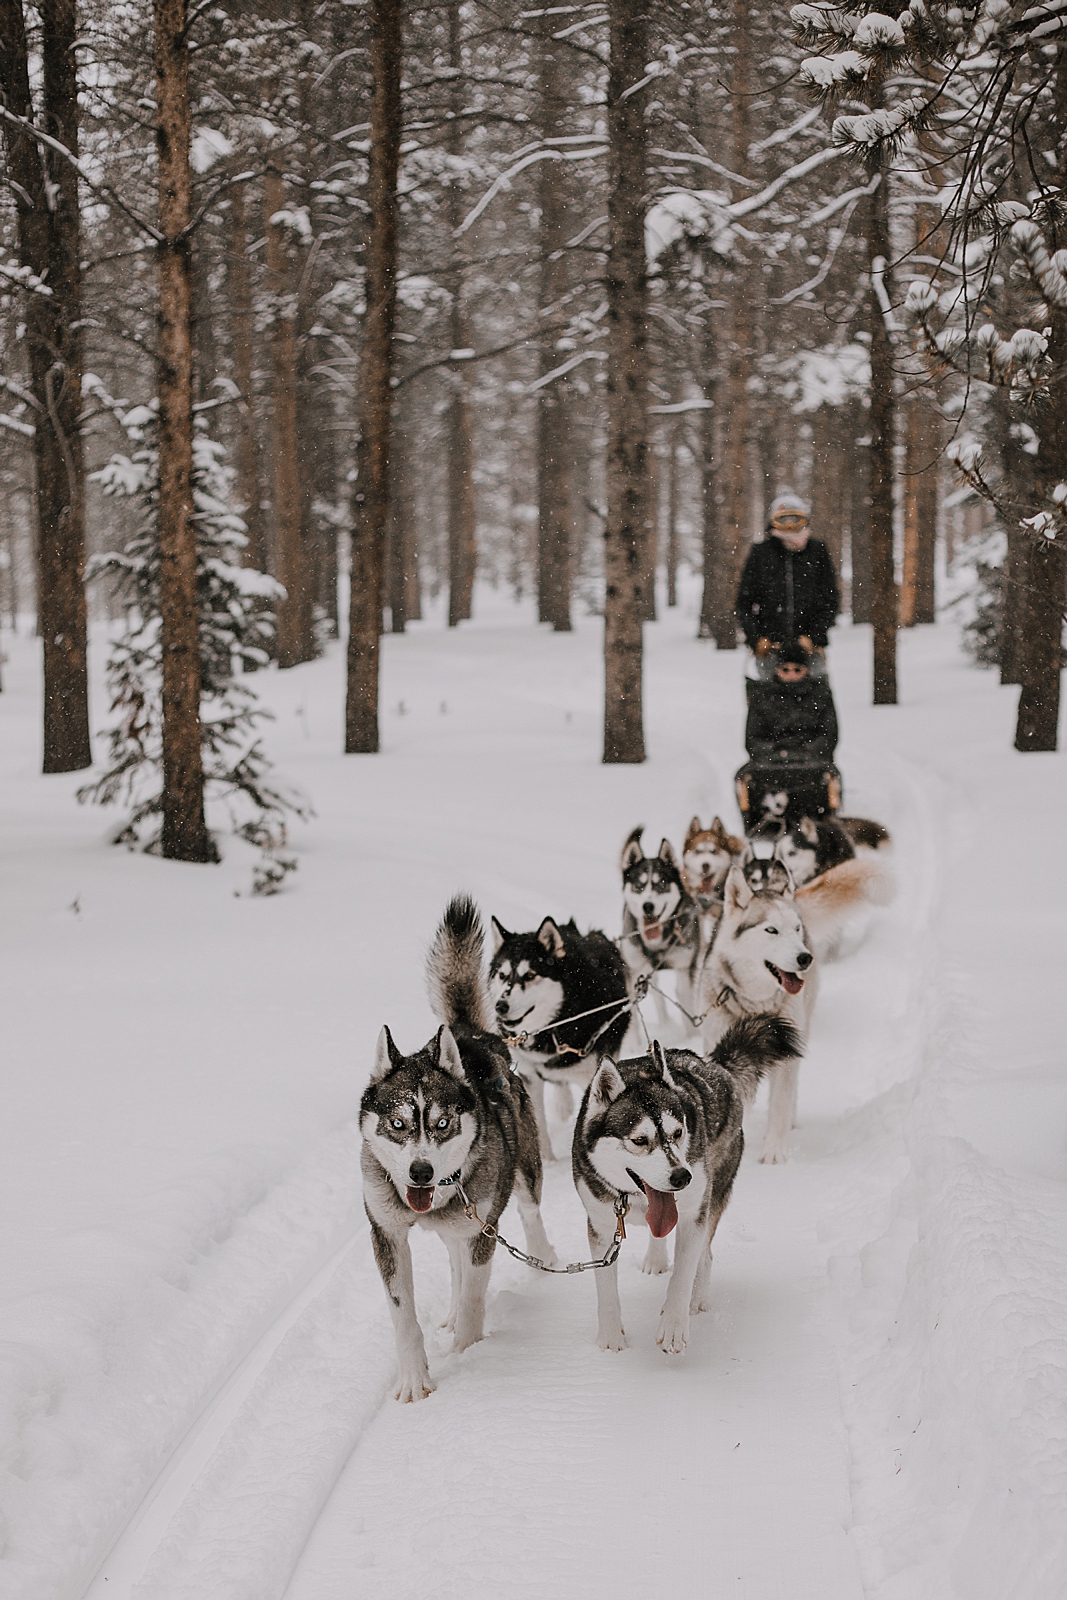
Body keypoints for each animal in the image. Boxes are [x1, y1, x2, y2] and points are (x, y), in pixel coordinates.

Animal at [363, 902, 556, 1401]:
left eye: (442, 1123)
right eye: (398, 1124)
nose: (421, 1173)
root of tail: (469, 1035)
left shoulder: (483, 1230)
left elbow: (474, 1296)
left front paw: (469, 1357)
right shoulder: (386, 1234)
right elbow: (404, 1315)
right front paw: (415, 1380)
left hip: (522, 1175)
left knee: (529, 1215)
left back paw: (544, 1261)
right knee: (454, 1259)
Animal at [575, 1017, 799, 1356]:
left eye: (678, 1132)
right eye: (639, 1140)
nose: (682, 1177)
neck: (637, 1200)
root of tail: (715, 1065)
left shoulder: (694, 1214)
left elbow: (684, 1271)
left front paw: (673, 1326)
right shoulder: (601, 1224)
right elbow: (605, 1286)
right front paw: (611, 1340)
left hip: (714, 1189)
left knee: (705, 1254)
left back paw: (696, 1298)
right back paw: (656, 1259)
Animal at [700, 864, 819, 1164]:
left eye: (796, 929)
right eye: (771, 930)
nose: (805, 958)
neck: (755, 1002)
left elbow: (779, 1104)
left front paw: (774, 1153)